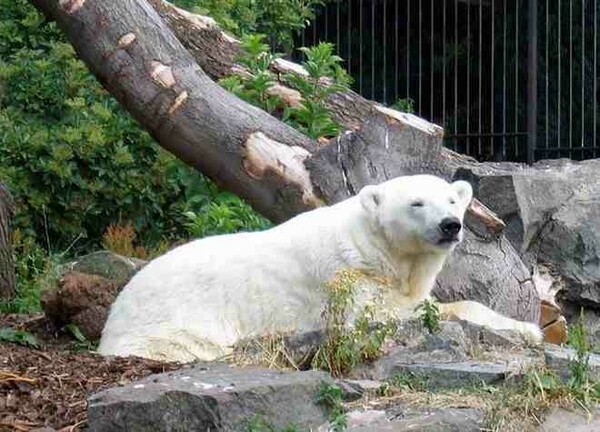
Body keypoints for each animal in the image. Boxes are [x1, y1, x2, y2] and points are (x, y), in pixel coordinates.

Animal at [99, 175, 544, 362]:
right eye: (417, 203)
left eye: (452, 201)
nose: (451, 225)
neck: (372, 247)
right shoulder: (346, 278)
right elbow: (389, 314)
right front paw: (529, 330)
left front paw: (526, 327)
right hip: (176, 320)